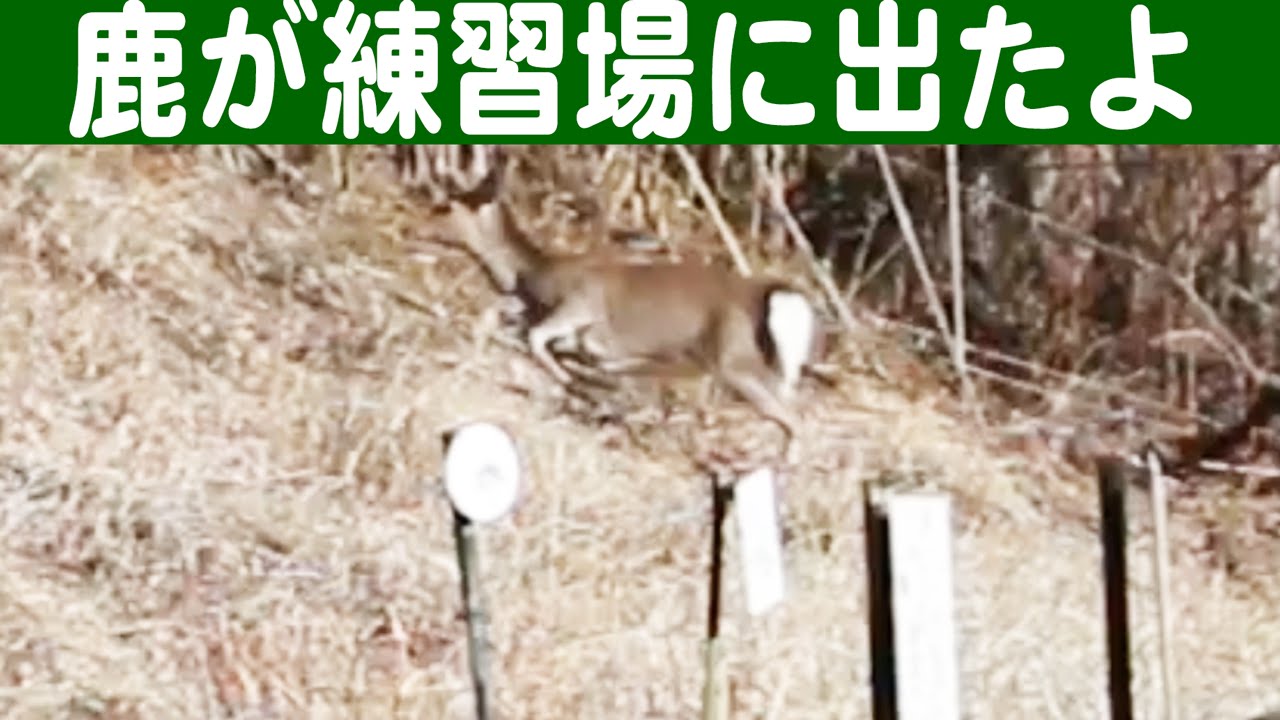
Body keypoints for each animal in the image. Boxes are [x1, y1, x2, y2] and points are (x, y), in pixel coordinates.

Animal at [427, 168, 827, 463]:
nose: (421, 221)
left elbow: (537, 339)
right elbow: (499, 320)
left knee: (792, 419)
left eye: (446, 206)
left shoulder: (582, 303)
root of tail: (771, 296)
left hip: (735, 363)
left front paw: (568, 381)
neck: (536, 274)